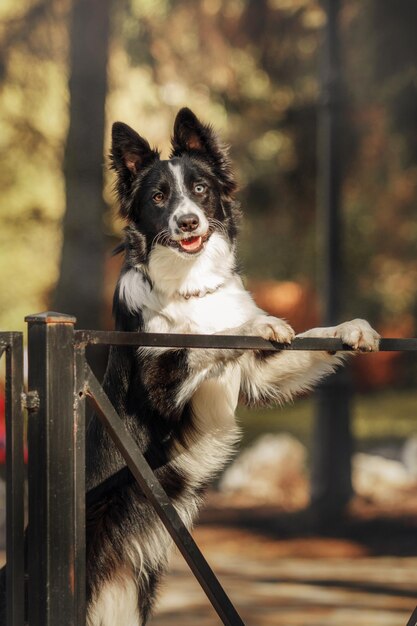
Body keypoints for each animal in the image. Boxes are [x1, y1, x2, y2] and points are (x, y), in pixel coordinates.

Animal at [86, 108, 378, 624]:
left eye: (200, 188)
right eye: (158, 197)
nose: (187, 222)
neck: (190, 284)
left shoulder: (256, 375)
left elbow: (306, 339)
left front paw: (352, 328)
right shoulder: (159, 386)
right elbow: (204, 341)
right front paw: (258, 323)